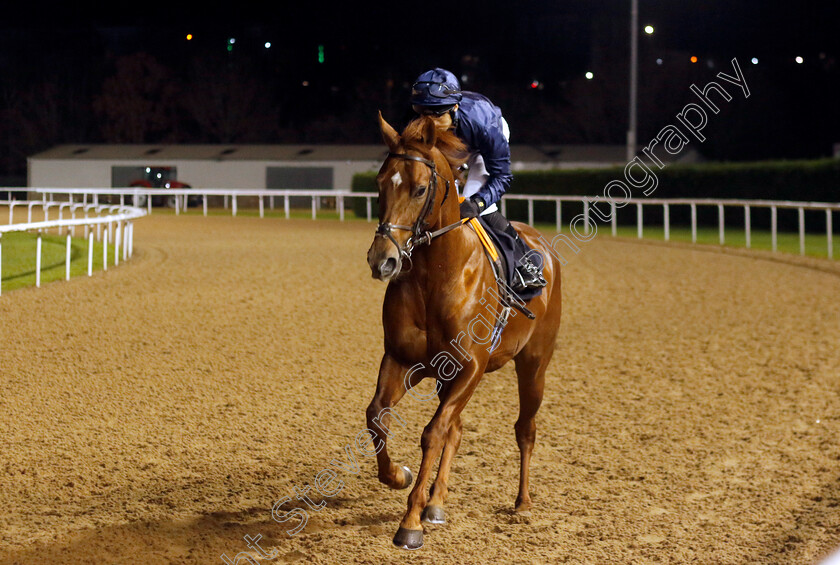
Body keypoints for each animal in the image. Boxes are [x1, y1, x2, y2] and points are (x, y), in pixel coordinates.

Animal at [364, 112, 560, 548]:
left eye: (420, 188)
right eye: (379, 184)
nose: (382, 261)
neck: (435, 274)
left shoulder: (470, 366)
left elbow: (433, 432)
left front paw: (410, 522)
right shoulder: (403, 358)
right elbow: (377, 416)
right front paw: (398, 476)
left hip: (534, 364)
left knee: (525, 429)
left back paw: (522, 502)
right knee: (457, 428)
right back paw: (437, 502)